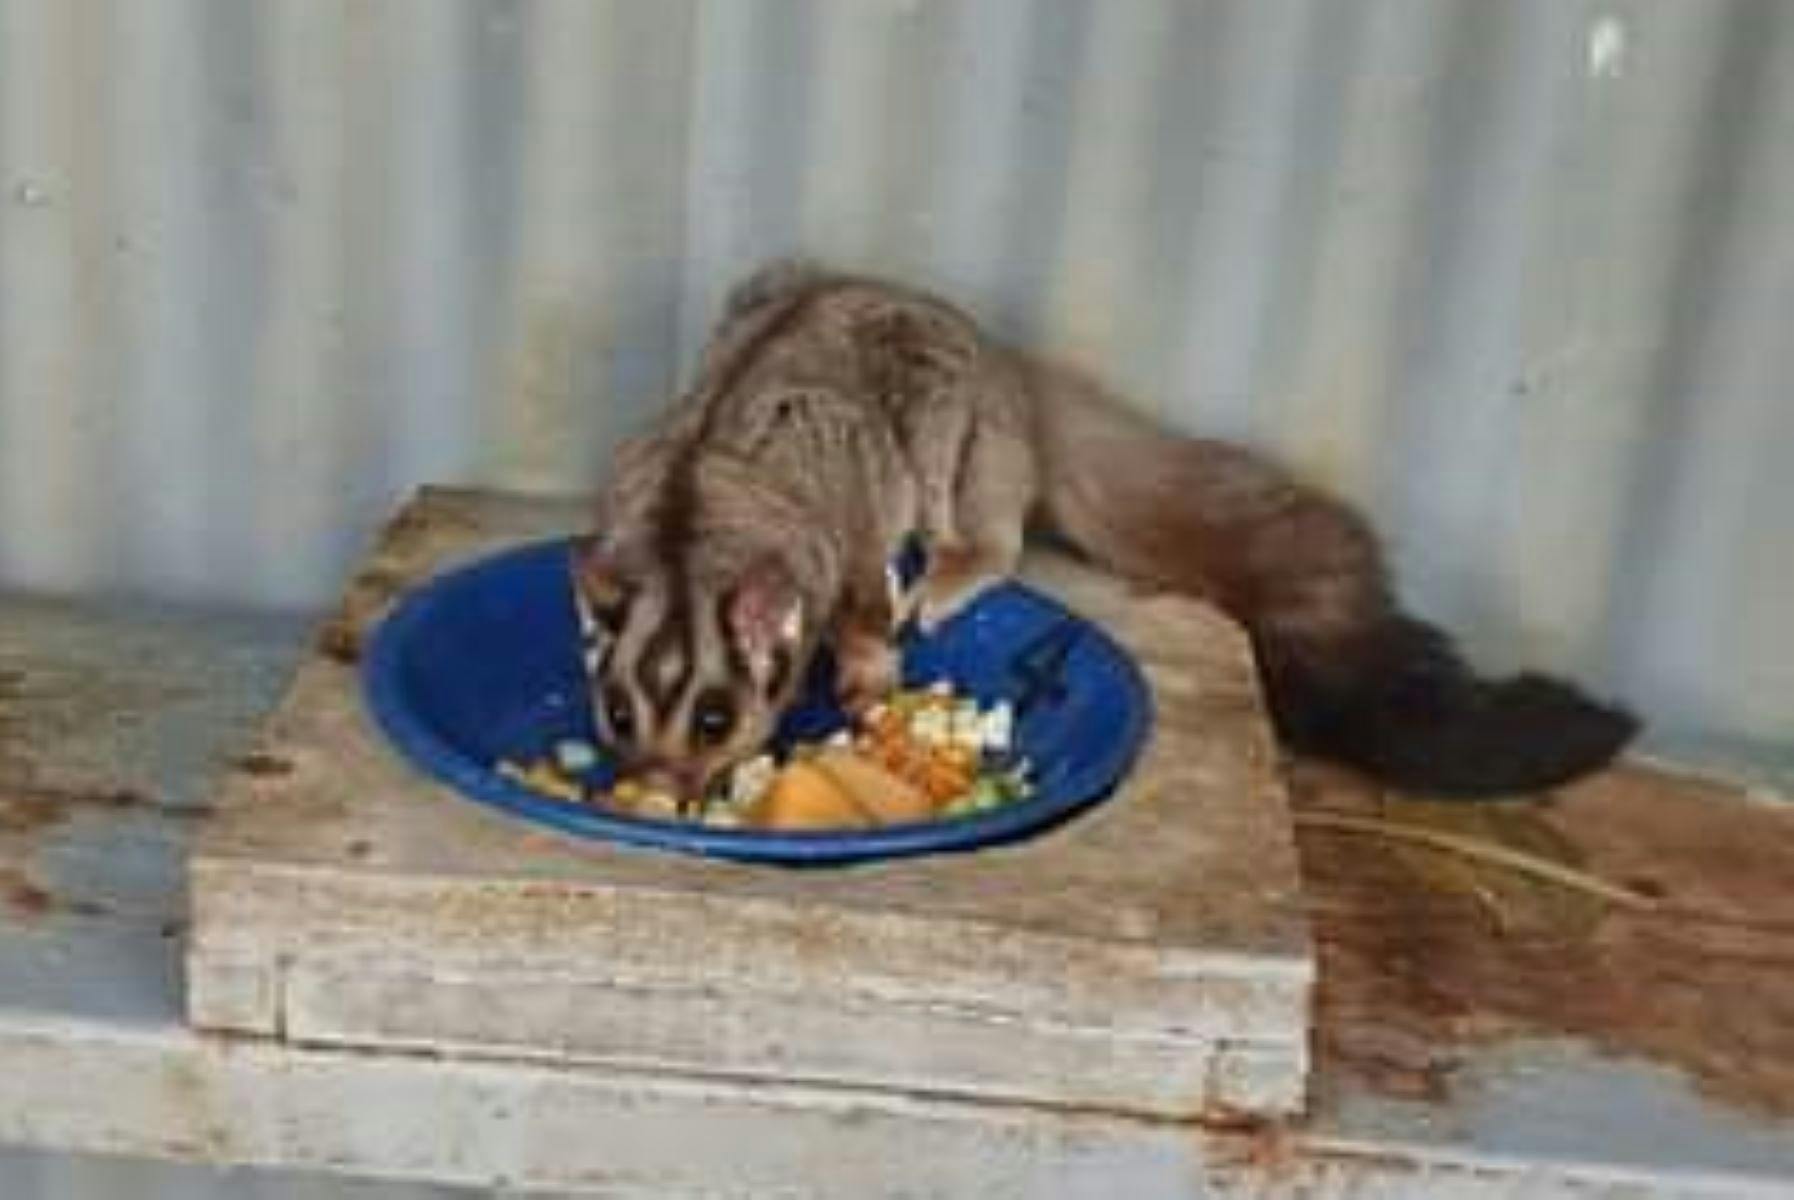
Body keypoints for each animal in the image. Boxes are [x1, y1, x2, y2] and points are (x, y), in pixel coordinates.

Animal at [573, 260, 1637, 804]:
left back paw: (959, 561)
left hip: (965, 418)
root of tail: (1013, 369)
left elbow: (867, 594)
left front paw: (868, 673)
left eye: (715, 720)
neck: (687, 519)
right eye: (619, 715)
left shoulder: (848, 520)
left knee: (960, 489)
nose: (659, 783)